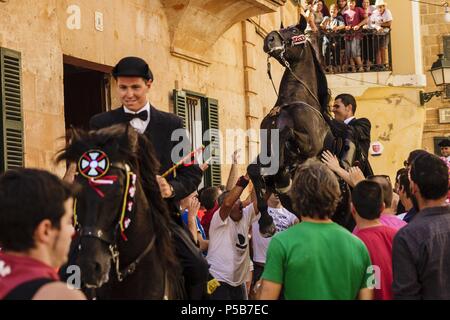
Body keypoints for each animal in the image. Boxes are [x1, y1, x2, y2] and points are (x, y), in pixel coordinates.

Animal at [250, 16, 356, 235]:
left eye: (294, 31)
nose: (269, 39)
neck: (291, 102)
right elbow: (253, 169)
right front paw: (266, 222)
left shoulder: (310, 145)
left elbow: (287, 133)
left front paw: (282, 175)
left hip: (346, 218)